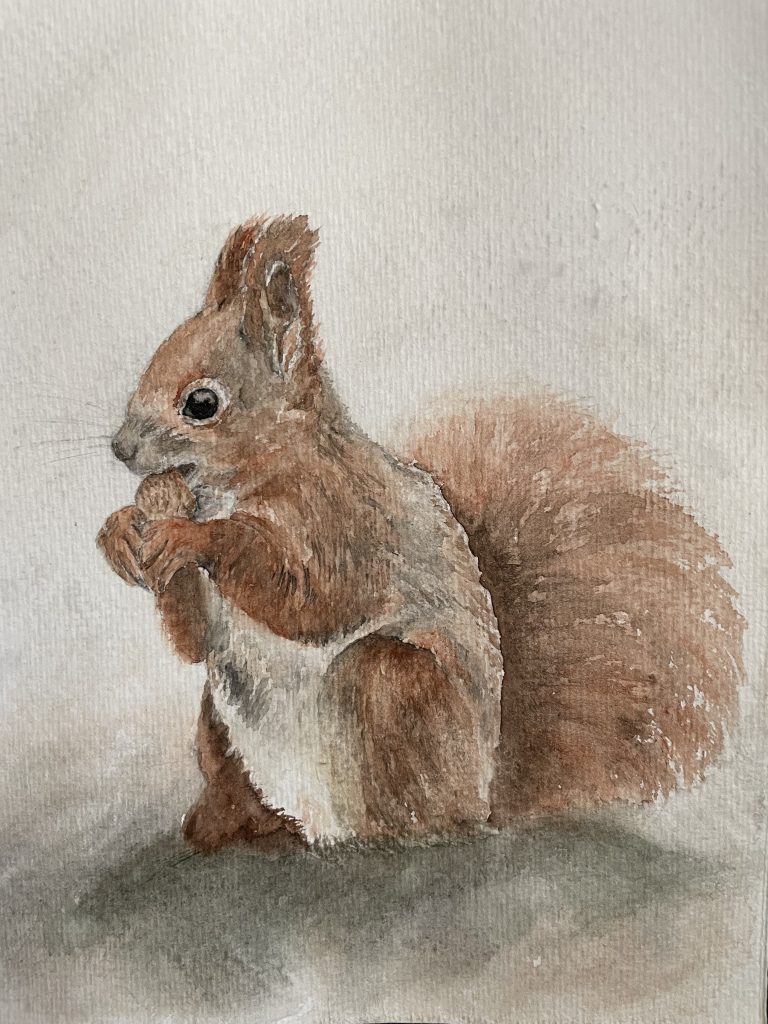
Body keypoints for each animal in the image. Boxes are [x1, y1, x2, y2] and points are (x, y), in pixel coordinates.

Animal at [98, 215, 744, 852]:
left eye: (201, 403)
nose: (120, 448)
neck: (251, 477)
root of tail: (486, 795)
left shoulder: (346, 521)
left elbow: (309, 597)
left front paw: (191, 537)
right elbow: (196, 639)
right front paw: (122, 532)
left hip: (392, 687)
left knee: (415, 814)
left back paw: (377, 835)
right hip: (220, 722)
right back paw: (226, 821)